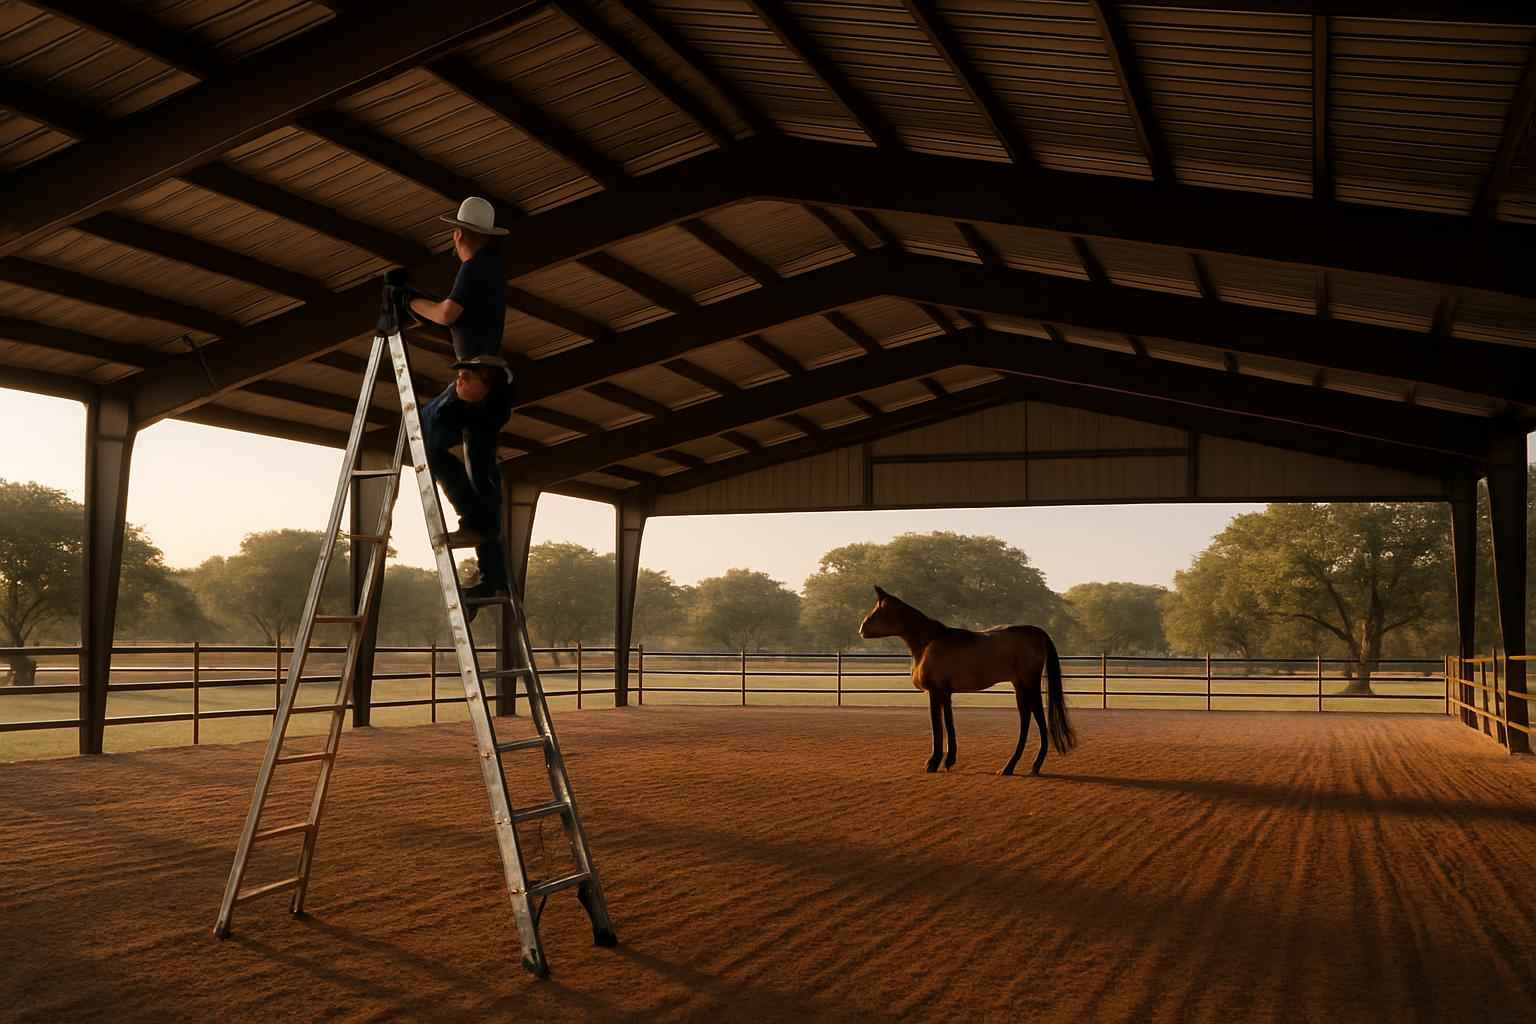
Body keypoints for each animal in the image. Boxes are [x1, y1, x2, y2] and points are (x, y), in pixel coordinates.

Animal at [858, 586, 1077, 775]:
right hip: (1020, 686)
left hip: (1029, 684)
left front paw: (933, 762)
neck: (928, 642)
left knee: (1036, 718)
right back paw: (1012, 766)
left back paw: (1028, 765)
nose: (861, 629)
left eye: (876, 610)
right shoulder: (945, 692)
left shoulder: (935, 691)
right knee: (1027, 718)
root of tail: (1038, 633)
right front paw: (949, 760)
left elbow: (937, 726)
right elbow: (948, 722)